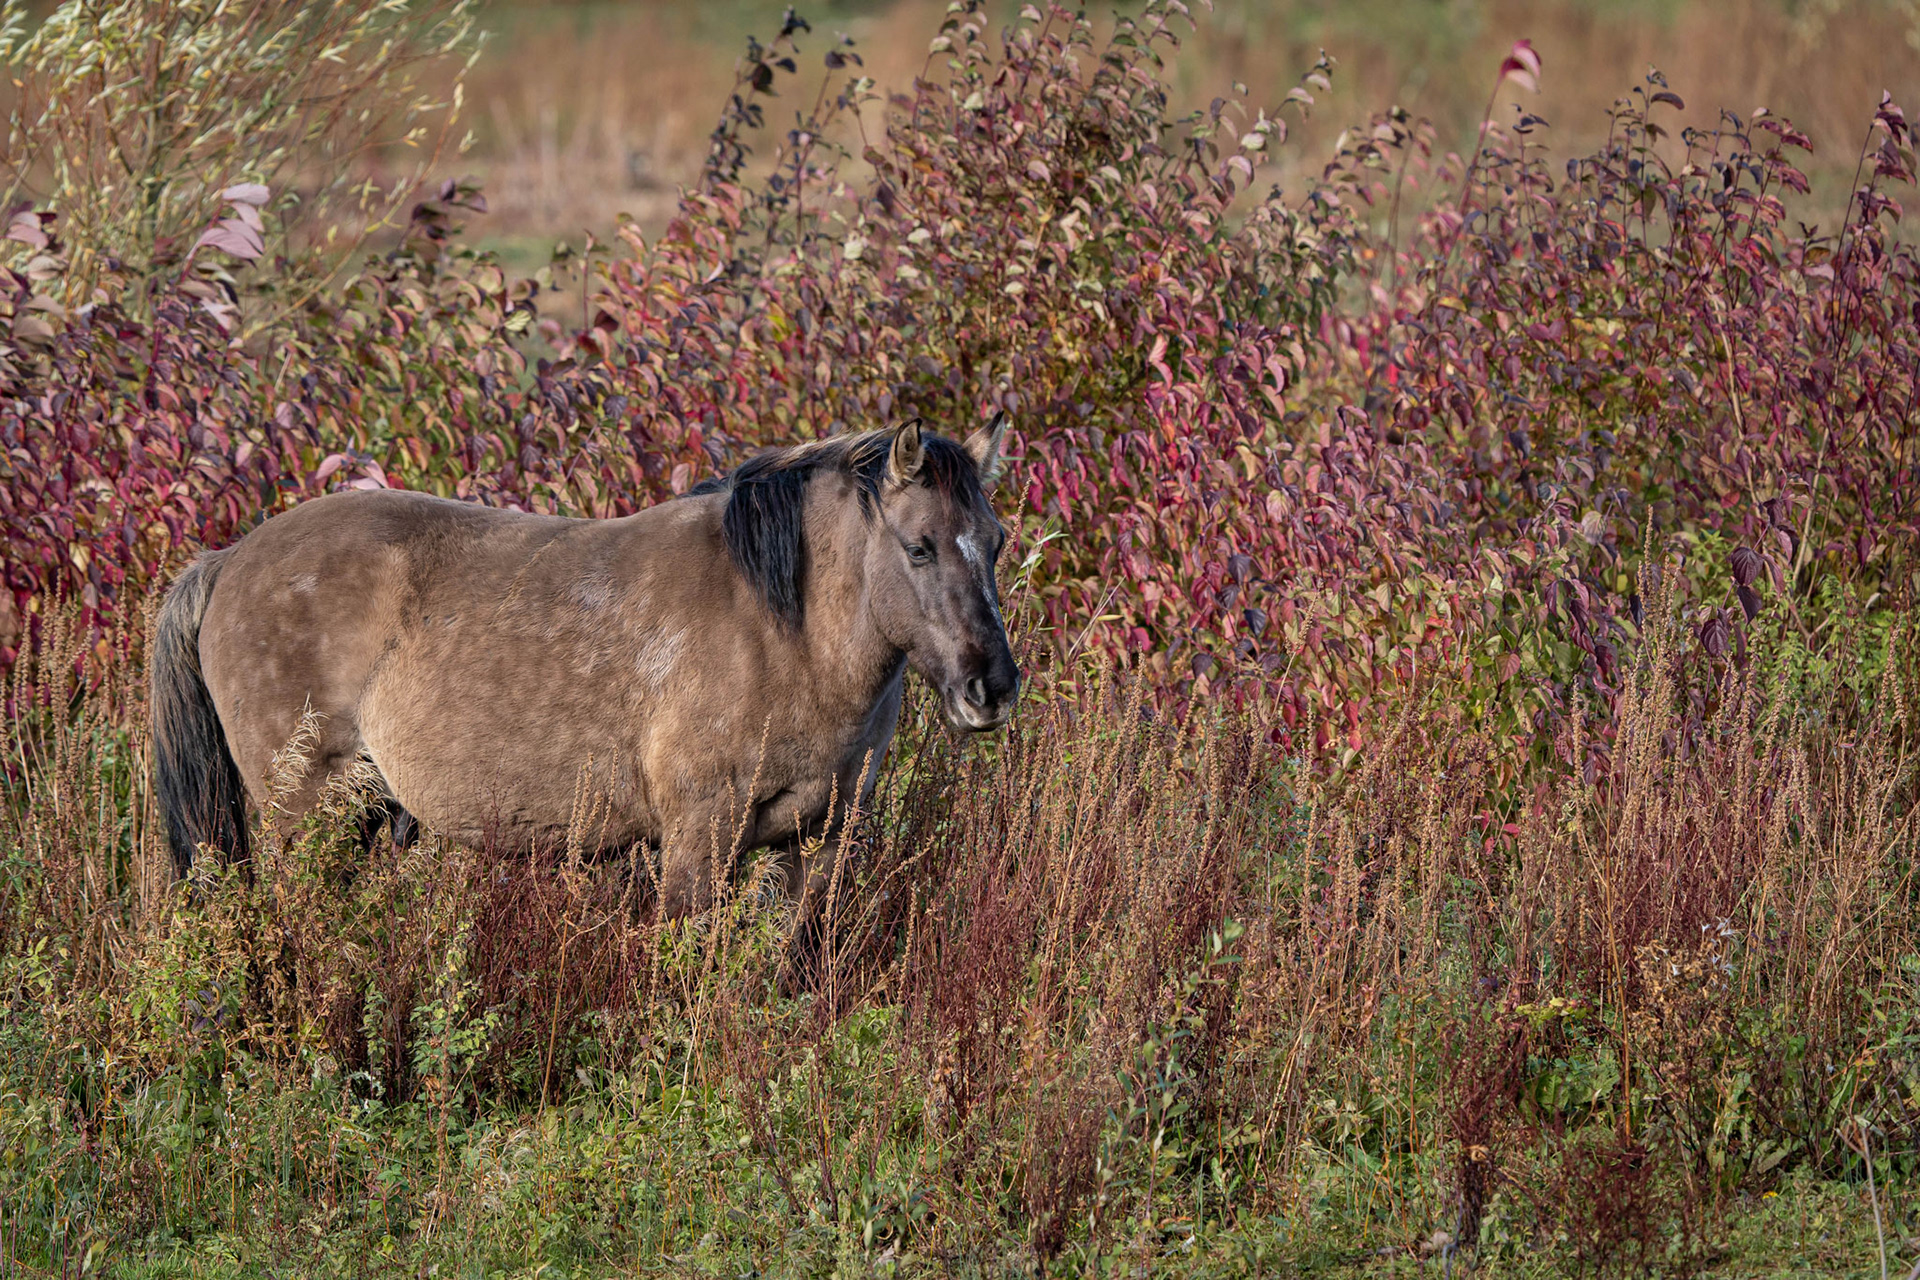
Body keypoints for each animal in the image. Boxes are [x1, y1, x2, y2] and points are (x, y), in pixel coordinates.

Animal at [149, 415, 1020, 917]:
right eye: (920, 547)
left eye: (997, 539)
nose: (993, 687)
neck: (784, 631)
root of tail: (228, 561)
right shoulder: (698, 838)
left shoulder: (823, 841)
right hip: (306, 819)